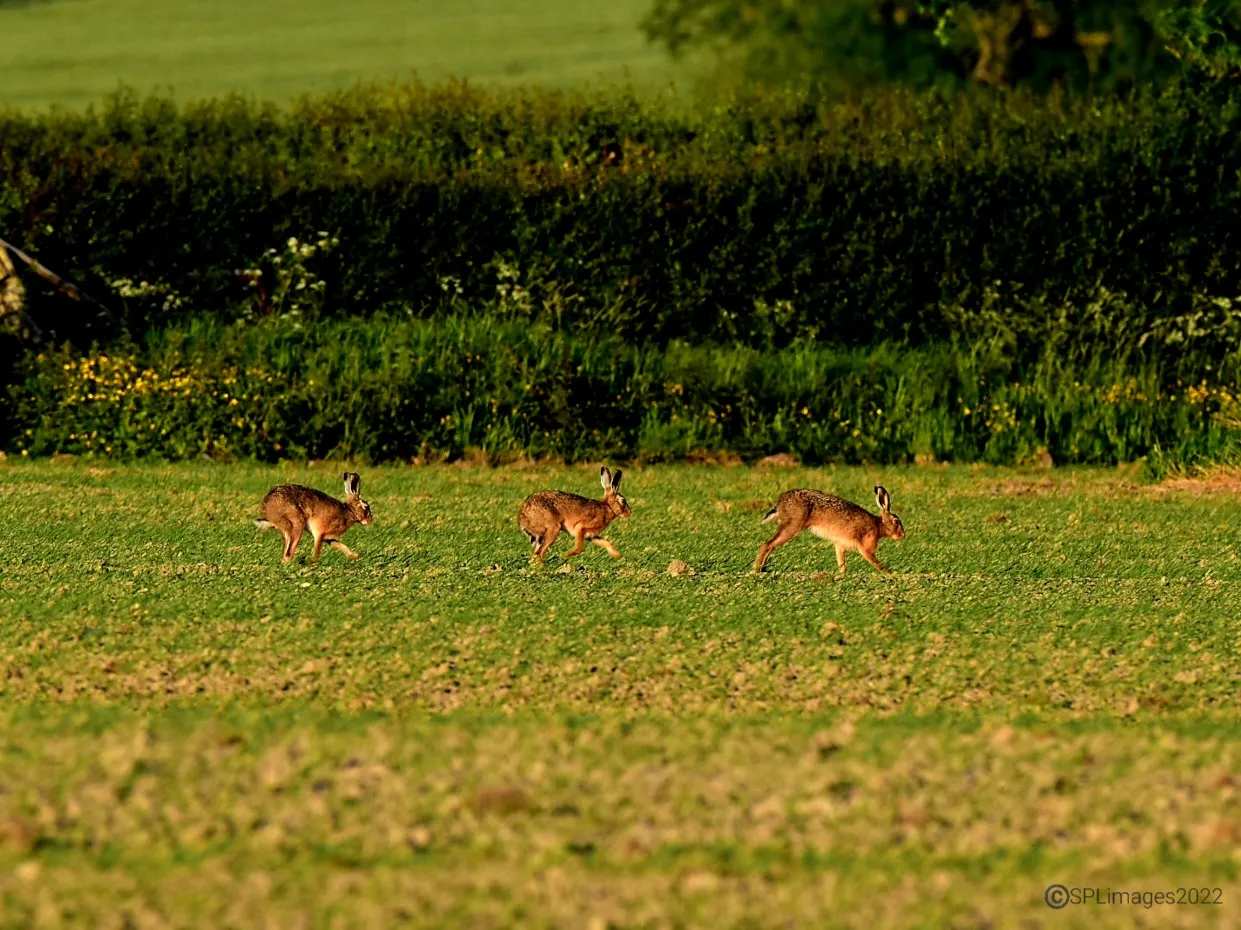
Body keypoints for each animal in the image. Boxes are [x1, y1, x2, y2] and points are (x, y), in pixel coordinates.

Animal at [753, 485, 904, 574]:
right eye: (896, 521)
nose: (902, 535)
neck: (878, 525)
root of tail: (780, 503)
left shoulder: (839, 545)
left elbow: (842, 564)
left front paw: (840, 577)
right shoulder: (866, 547)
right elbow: (875, 562)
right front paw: (890, 575)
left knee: (770, 546)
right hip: (793, 526)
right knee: (767, 545)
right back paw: (756, 571)